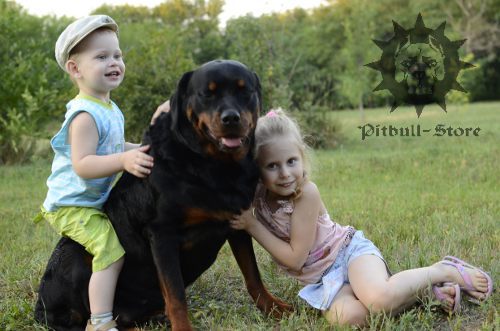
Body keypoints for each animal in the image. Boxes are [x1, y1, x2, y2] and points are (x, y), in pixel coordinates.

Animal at [35, 60, 292, 331]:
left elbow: (253, 275)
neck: (212, 165)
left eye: (245, 91)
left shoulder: (238, 221)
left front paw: (274, 309)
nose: (231, 117)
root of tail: (40, 311)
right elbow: (176, 295)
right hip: (76, 258)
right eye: (207, 94)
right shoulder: (162, 233)